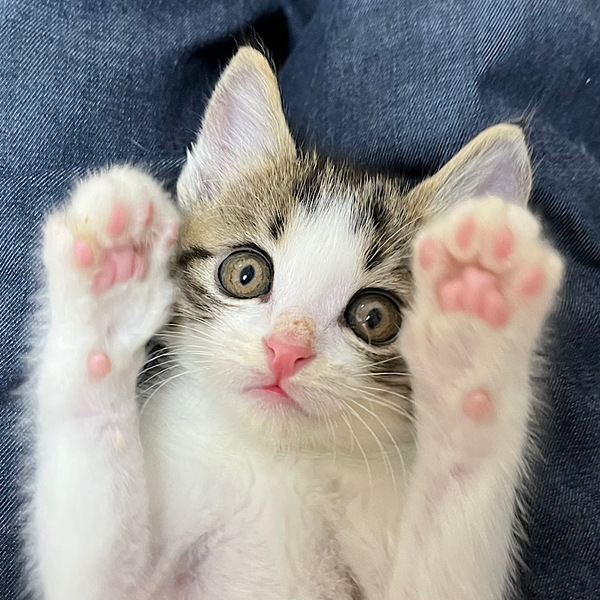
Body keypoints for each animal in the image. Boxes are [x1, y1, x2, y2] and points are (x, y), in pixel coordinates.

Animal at [25, 47, 564, 600]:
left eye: (375, 317)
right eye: (245, 273)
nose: (285, 350)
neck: (280, 459)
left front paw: (471, 342)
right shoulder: (108, 576)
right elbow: (95, 565)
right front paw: (108, 288)